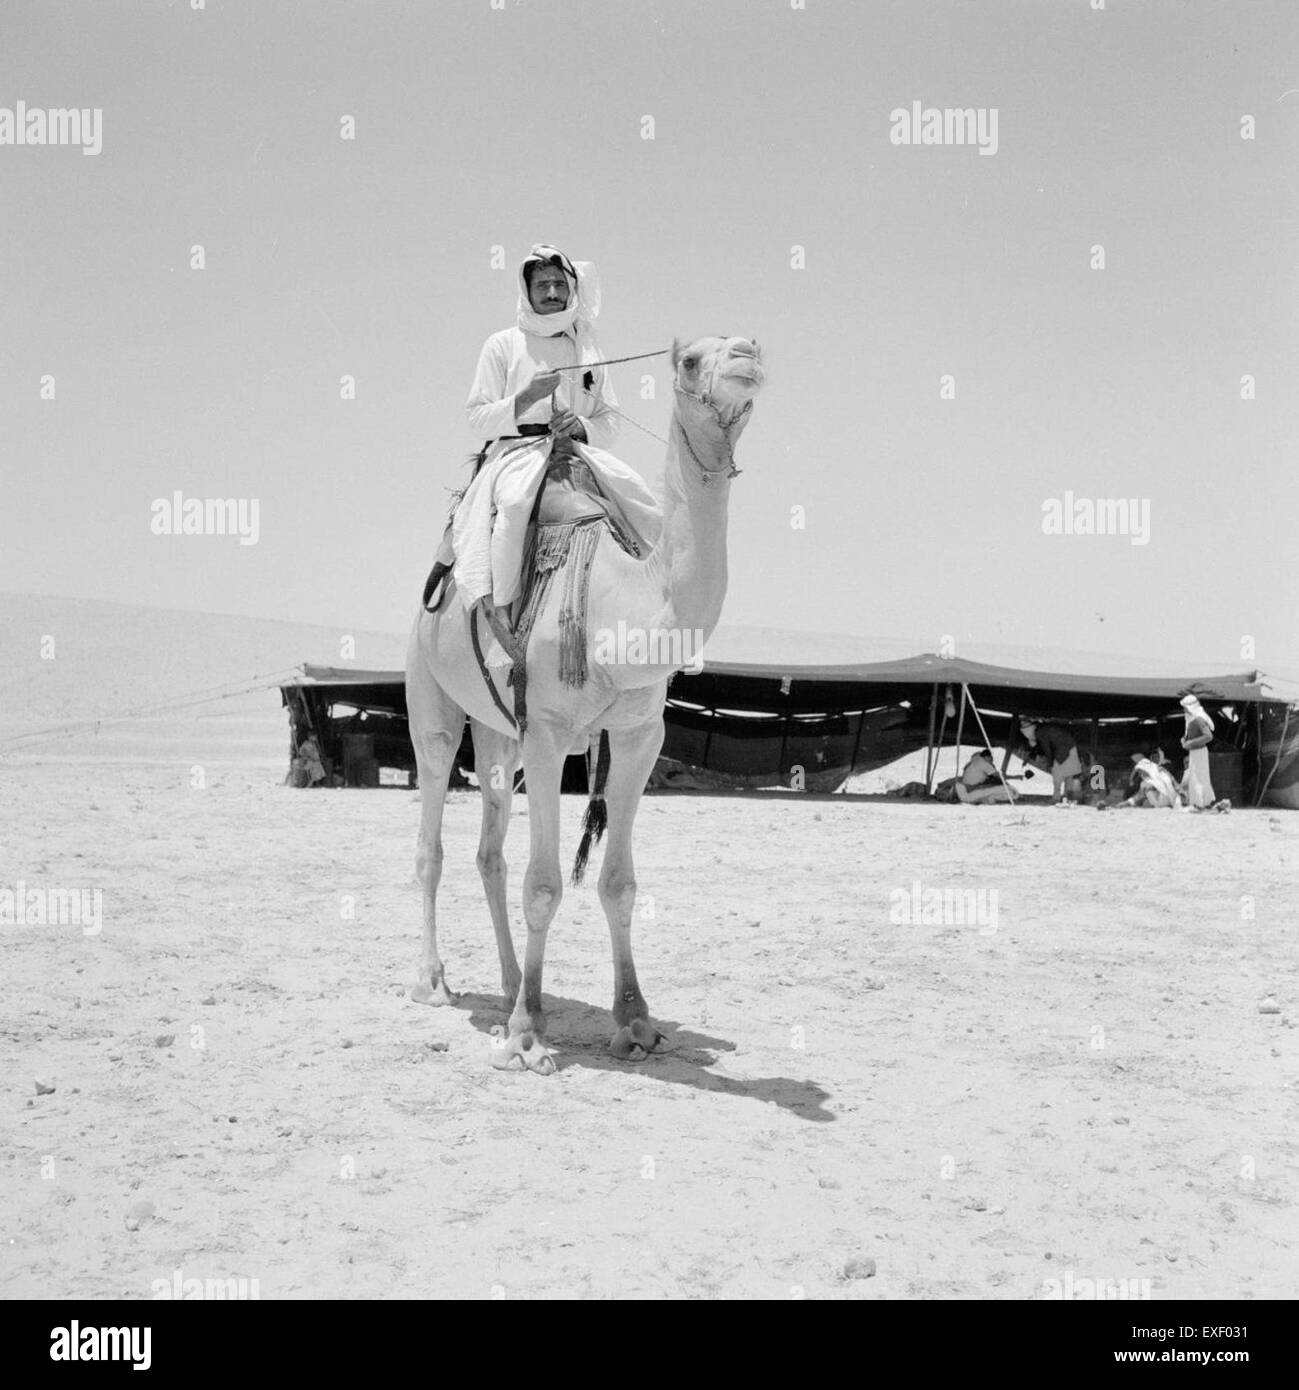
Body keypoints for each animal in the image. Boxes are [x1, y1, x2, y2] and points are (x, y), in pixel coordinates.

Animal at [408, 336, 761, 1073]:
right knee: (433, 842)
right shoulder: (545, 731)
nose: (746, 356)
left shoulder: (638, 735)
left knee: (489, 852)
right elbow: (545, 885)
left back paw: (512, 982)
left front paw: (636, 1023)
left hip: (498, 735)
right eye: (690, 359)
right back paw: (434, 982)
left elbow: (618, 884)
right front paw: (526, 1037)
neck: (614, 609)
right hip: (432, 702)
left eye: (747, 342)